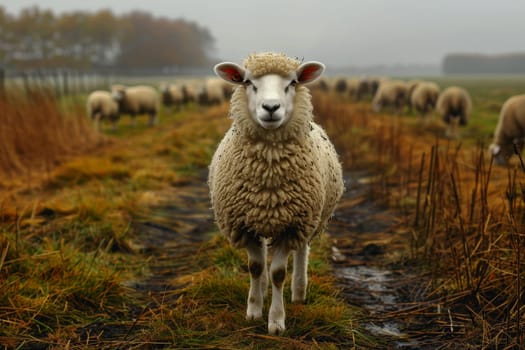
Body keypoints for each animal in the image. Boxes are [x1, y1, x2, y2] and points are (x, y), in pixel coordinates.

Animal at [207, 51, 346, 334]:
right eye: (248, 82)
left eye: (292, 83)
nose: (270, 108)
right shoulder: (244, 224)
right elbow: (256, 266)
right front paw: (253, 310)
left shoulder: (291, 226)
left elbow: (278, 273)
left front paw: (276, 321)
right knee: (261, 263)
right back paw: (261, 290)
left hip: (310, 220)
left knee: (302, 251)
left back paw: (299, 292)